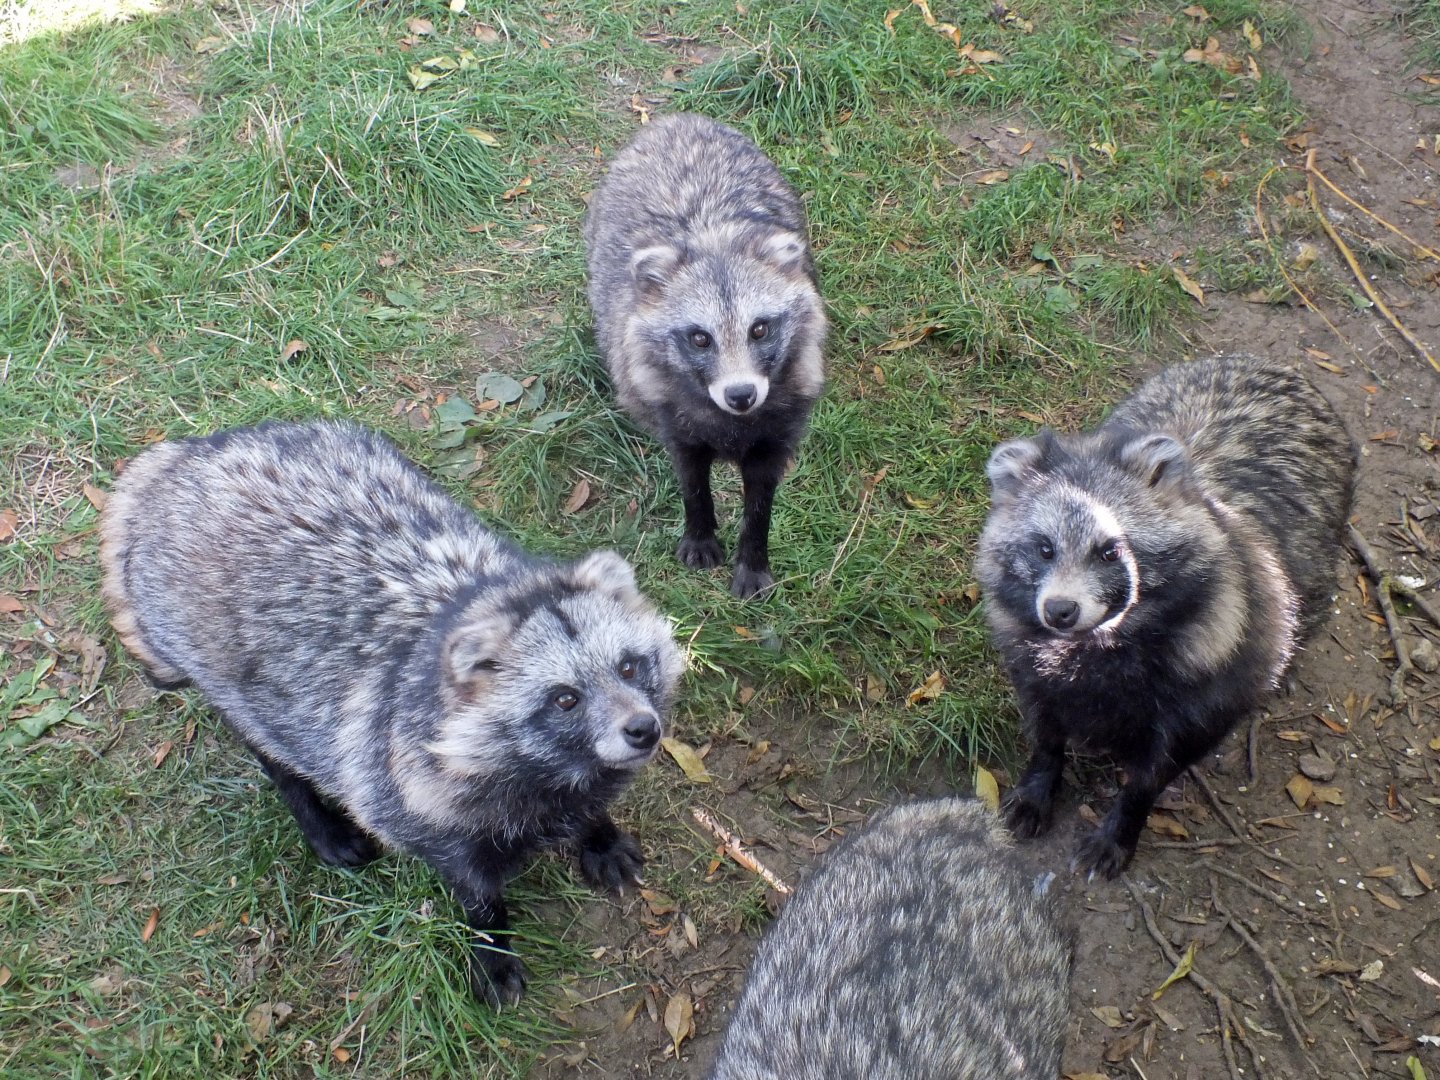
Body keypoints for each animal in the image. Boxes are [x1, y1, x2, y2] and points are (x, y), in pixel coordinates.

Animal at [99, 420, 684, 1005]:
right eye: (566, 698)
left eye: (629, 666)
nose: (642, 729)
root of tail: (179, 460)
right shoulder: (407, 792)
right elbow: (470, 881)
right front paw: (491, 940)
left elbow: (588, 804)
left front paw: (597, 829)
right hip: (213, 659)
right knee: (266, 736)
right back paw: (310, 808)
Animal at [584, 112, 827, 599]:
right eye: (700, 339)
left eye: (759, 329)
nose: (741, 395)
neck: (712, 238)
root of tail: (676, 119)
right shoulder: (670, 407)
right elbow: (691, 474)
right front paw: (699, 530)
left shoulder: (786, 412)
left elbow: (762, 491)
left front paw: (753, 554)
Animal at [977, 355, 1354, 878]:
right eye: (1044, 548)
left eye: (1110, 551)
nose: (1060, 611)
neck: (1102, 643)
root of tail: (1274, 364)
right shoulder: (1025, 649)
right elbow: (1045, 722)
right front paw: (1040, 781)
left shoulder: (1218, 659)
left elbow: (1161, 764)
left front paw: (1123, 822)